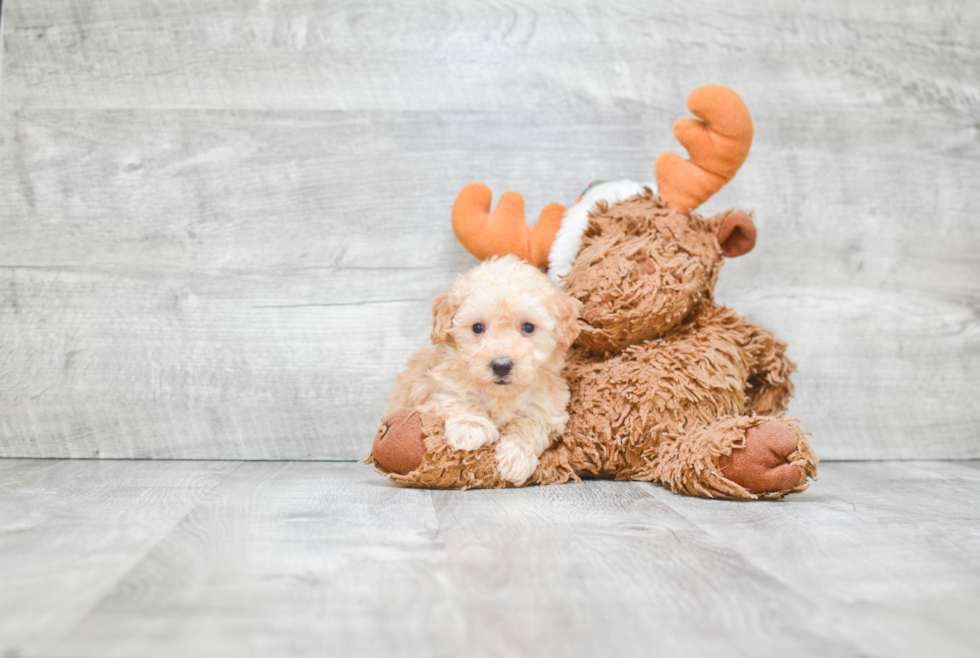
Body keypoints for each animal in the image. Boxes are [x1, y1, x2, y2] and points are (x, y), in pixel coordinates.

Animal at [384, 254, 580, 484]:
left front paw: (516, 457)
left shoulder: (548, 408)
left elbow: (530, 425)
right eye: (477, 328)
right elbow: (458, 398)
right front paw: (472, 427)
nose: (502, 366)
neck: (500, 395)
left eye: (528, 327)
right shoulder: (438, 389)